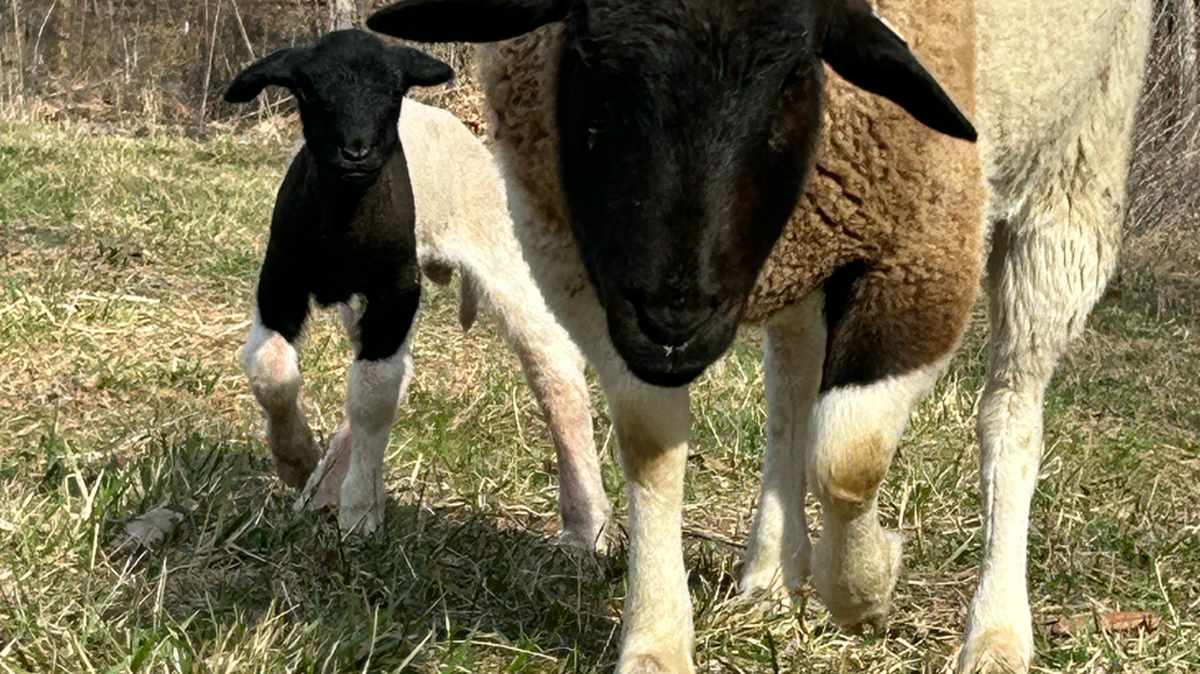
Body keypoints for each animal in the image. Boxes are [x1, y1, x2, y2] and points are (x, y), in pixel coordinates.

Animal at [227, 29, 610, 546]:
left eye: (394, 91)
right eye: (307, 90)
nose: (357, 151)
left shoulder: (394, 291)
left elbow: (372, 393)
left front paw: (359, 511)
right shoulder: (280, 283)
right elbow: (270, 369)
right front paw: (299, 461)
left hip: (501, 253)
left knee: (554, 366)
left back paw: (585, 525)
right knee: (394, 369)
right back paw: (323, 485)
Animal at [370, 0, 1168, 671]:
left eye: (795, 74)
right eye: (592, 57)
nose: (676, 317)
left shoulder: (926, 248)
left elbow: (850, 456)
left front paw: (868, 588)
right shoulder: (583, 273)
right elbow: (652, 444)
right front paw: (657, 643)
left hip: (1074, 173)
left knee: (1010, 413)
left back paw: (996, 635)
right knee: (792, 385)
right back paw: (770, 574)